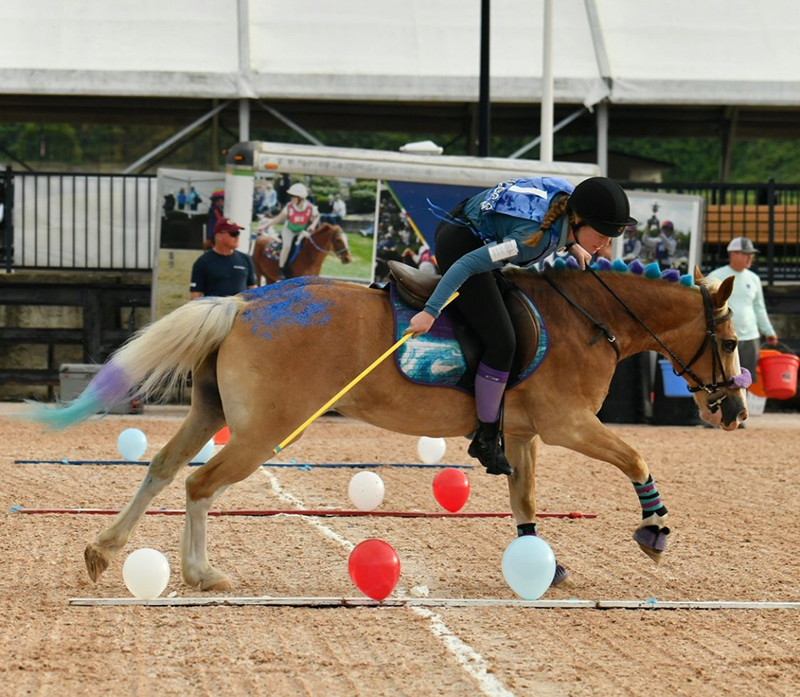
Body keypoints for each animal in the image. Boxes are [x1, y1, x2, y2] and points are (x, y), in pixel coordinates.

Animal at [26, 264, 748, 592]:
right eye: (732, 339)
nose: (736, 413)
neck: (587, 319)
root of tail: (245, 301)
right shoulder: (569, 423)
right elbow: (635, 458)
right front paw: (654, 529)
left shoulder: (522, 434)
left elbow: (524, 498)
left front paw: (540, 562)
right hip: (262, 433)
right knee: (201, 484)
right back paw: (203, 573)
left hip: (215, 415)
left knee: (163, 468)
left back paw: (104, 548)